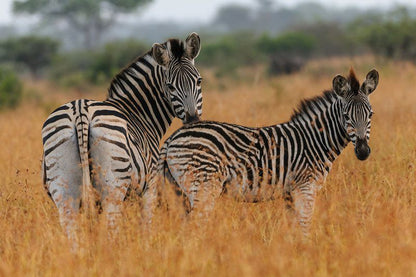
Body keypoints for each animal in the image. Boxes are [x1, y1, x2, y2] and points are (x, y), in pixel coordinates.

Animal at [42, 31, 203, 239]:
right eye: (170, 87)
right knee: (112, 227)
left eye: (198, 81)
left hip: (63, 187)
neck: (139, 113)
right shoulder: (149, 186)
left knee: (71, 229)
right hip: (113, 186)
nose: (193, 120)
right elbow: (145, 226)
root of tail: (80, 110)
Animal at [148, 69, 378, 233]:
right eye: (346, 115)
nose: (363, 151)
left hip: (179, 190)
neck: (315, 140)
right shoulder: (305, 187)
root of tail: (172, 137)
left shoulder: (290, 192)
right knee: (194, 226)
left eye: (371, 114)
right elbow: (305, 225)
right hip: (203, 186)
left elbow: (294, 227)